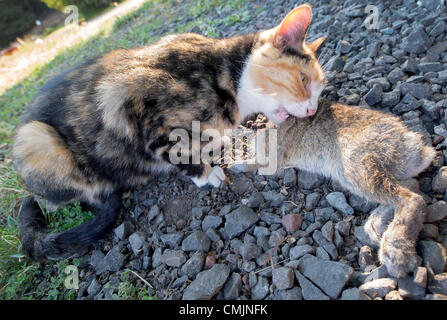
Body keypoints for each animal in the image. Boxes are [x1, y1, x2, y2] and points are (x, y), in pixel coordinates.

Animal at [13, 3, 326, 262]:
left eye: (320, 90)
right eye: (303, 80)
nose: (312, 110)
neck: (227, 77)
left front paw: (217, 141)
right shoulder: (140, 113)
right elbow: (178, 154)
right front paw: (206, 173)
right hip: (37, 139)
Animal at [247, 100, 436, 278]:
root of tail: (413, 145)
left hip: (356, 164)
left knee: (412, 199)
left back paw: (395, 254)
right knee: (410, 186)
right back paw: (376, 226)